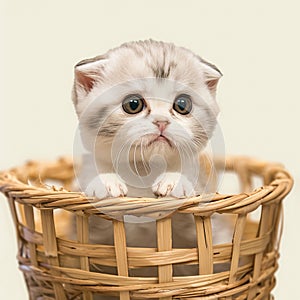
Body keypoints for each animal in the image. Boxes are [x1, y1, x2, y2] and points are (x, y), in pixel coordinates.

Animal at [72, 39, 232, 278]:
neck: (143, 170)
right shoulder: (87, 231)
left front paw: (174, 181)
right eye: (133, 104)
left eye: (182, 104)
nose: (161, 121)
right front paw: (106, 182)